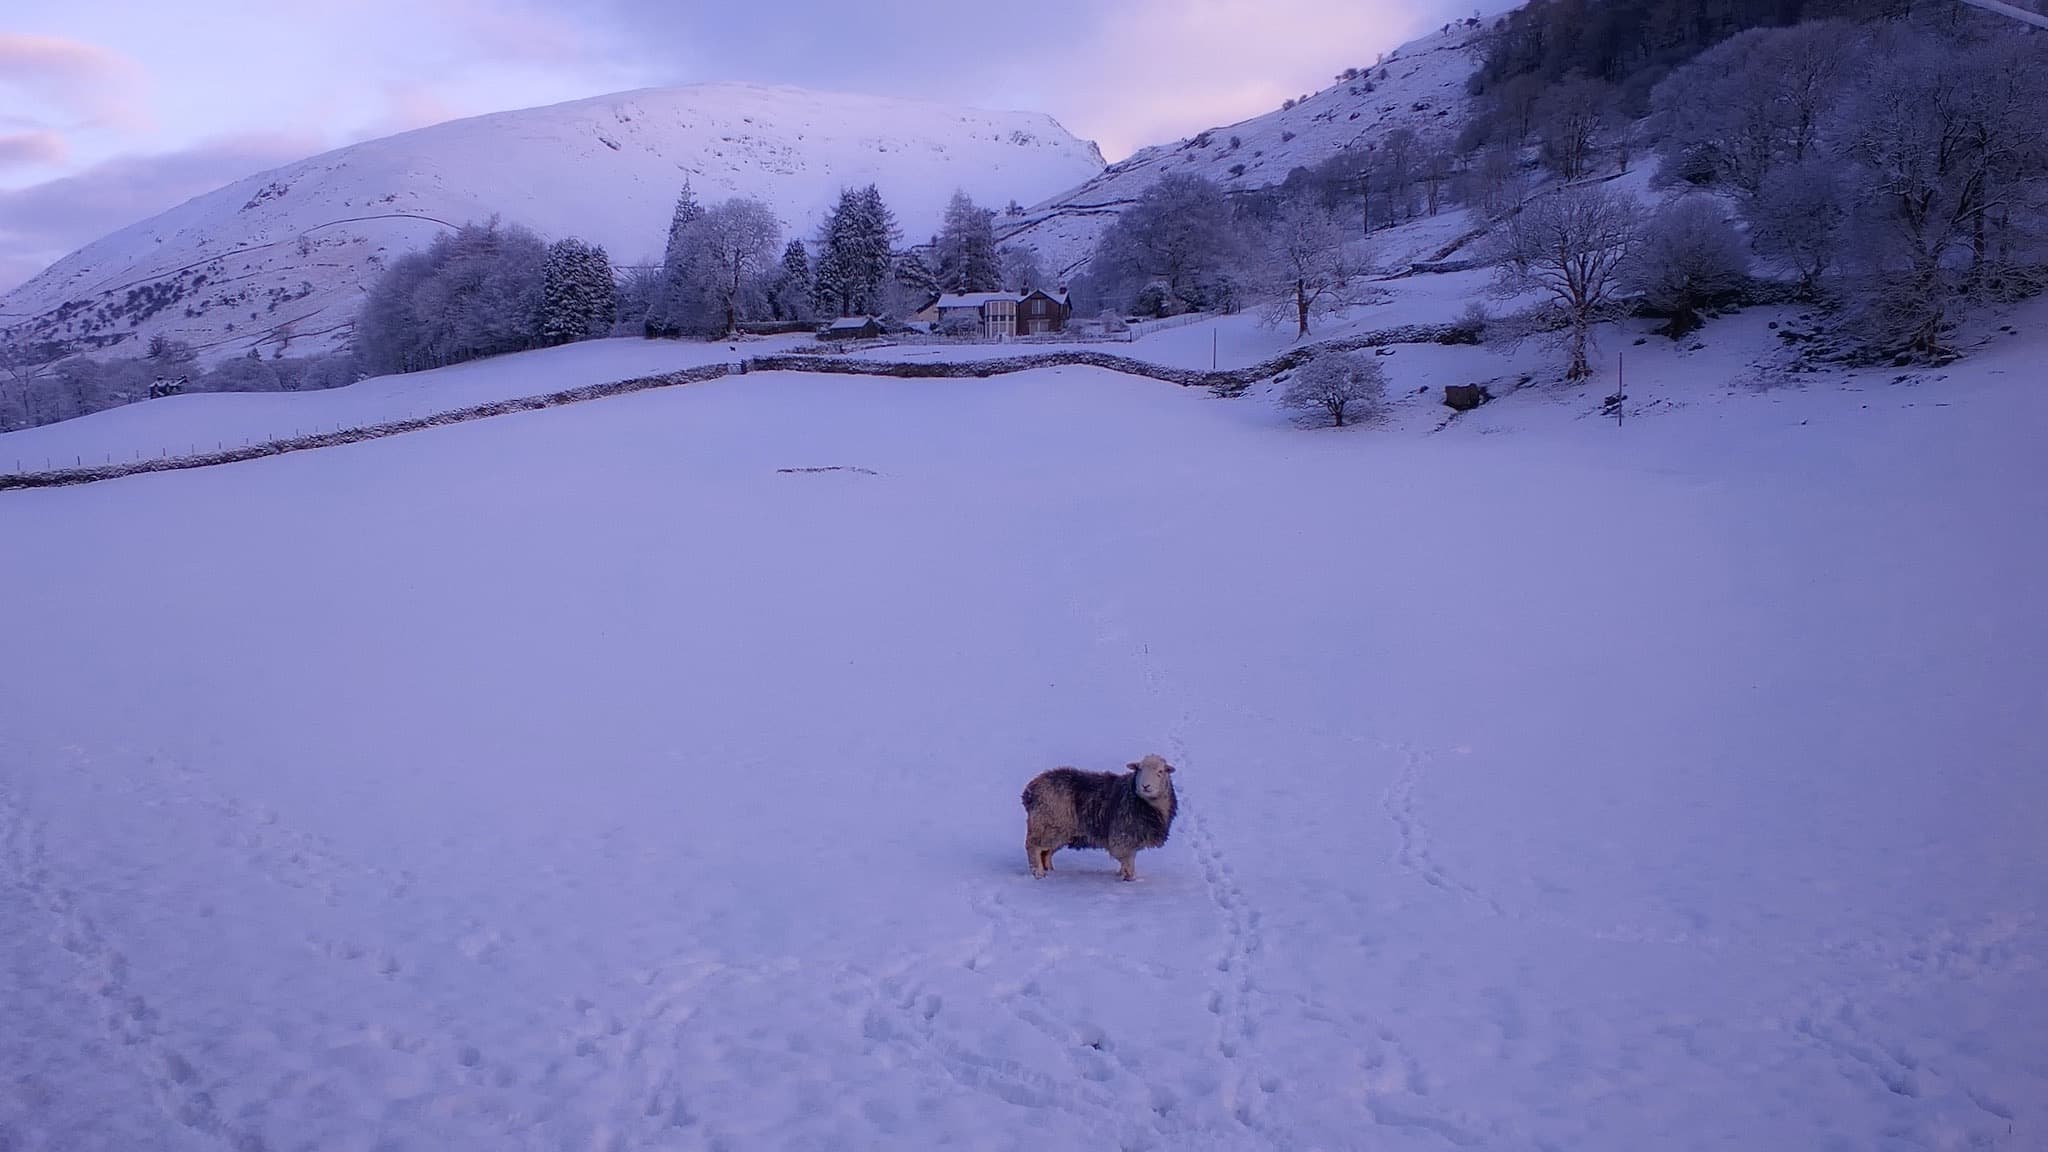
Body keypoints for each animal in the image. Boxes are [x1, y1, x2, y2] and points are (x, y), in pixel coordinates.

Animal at [1019, 754, 1179, 877]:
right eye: (1139, 770)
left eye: (1160, 771)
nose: (1145, 786)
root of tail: (1030, 790)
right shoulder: (1122, 839)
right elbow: (1128, 862)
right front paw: (1129, 879)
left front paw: (1121, 875)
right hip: (1046, 824)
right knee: (1034, 846)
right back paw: (1038, 873)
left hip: (1057, 830)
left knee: (1046, 852)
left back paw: (1051, 870)